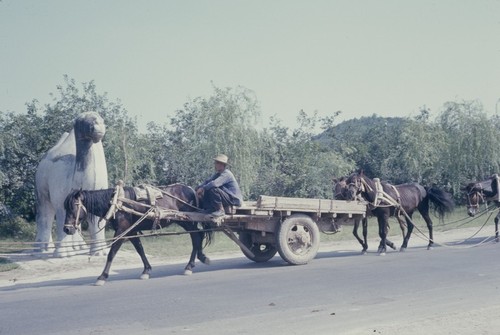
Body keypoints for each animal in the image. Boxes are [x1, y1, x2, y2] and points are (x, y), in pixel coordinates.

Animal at [35, 113, 109, 258]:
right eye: (83, 121)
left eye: (101, 119)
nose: (99, 127)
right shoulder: (61, 199)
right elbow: (61, 216)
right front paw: (62, 254)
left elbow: (95, 220)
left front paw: (99, 252)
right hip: (40, 183)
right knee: (45, 211)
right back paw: (43, 249)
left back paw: (78, 248)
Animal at [63, 184, 212, 286]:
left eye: (73, 207)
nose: (67, 229)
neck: (116, 203)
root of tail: (190, 189)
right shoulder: (131, 231)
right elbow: (140, 249)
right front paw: (146, 270)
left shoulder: (122, 231)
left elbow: (112, 253)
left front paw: (102, 276)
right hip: (186, 221)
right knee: (198, 236)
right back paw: (200, 258)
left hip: (187, 221)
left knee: (196, 237)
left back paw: (190, 265)